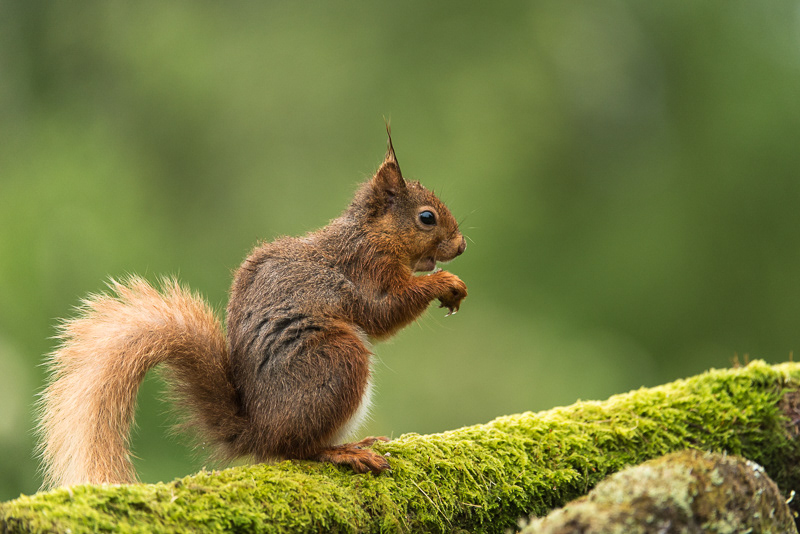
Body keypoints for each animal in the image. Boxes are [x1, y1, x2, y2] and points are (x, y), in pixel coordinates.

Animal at [37, 130, 467, 488]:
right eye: (426, 218)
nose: (462, 246)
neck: (371, 234)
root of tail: (260, 431)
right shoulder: (365, 271)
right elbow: (383, 312)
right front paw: (446, 283)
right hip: (338, 360)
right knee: (297, 450)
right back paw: (343, 452)